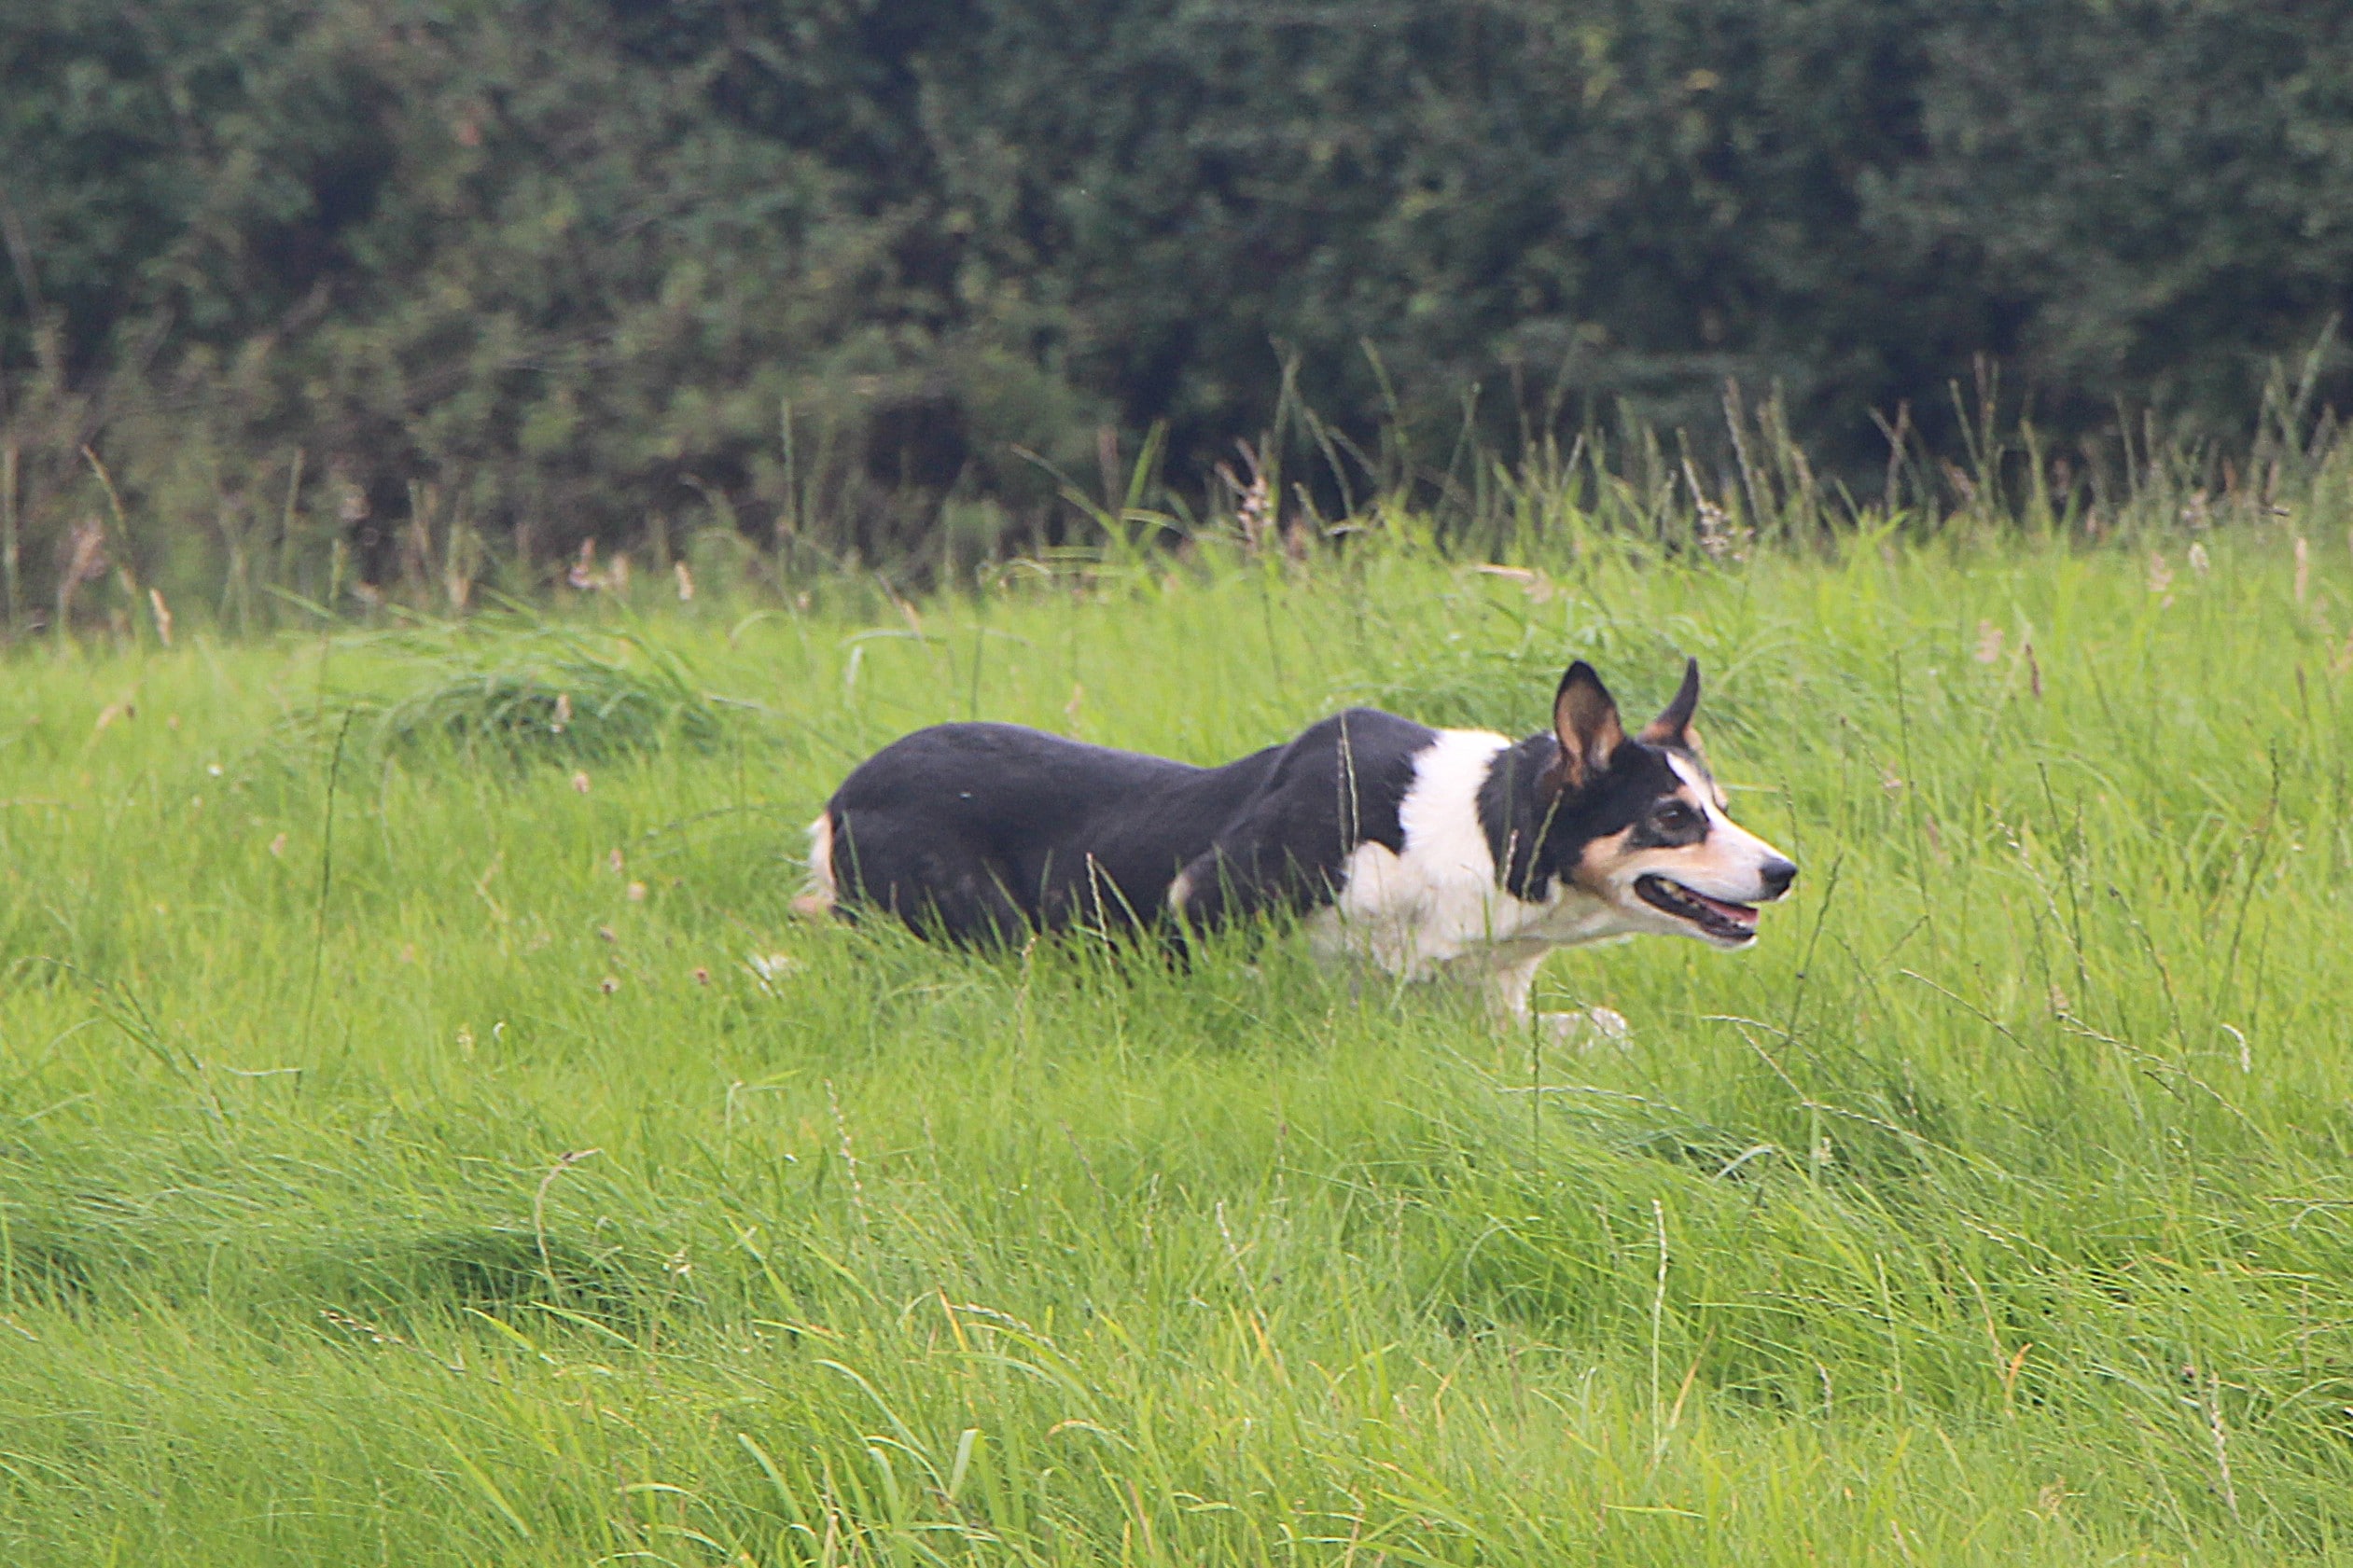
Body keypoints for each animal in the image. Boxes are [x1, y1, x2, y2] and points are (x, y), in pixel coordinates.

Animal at [803, 656, 1795, 1022]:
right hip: (995, 934)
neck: (1478, 835)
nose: (1785, 872)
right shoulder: (1198, 899)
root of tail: (844, 794)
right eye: (1673, 818)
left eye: (1720, 803)